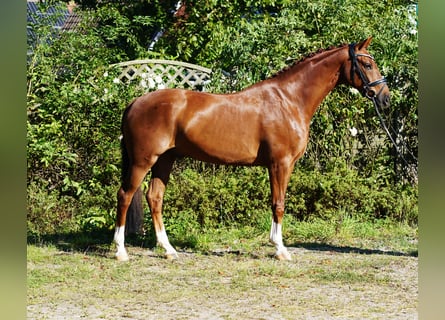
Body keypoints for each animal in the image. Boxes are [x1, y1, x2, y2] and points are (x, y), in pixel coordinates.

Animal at [113, 38, 388, 262]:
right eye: (366, 64)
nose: (384, 97)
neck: (289, 100)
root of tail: (135, 102)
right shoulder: (280, 163)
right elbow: (279, 203)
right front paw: (280, 249)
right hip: (143, 160)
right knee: (125, 195)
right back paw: (121, 251)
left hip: (164, 160)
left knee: (155, 197)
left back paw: (169, 250)